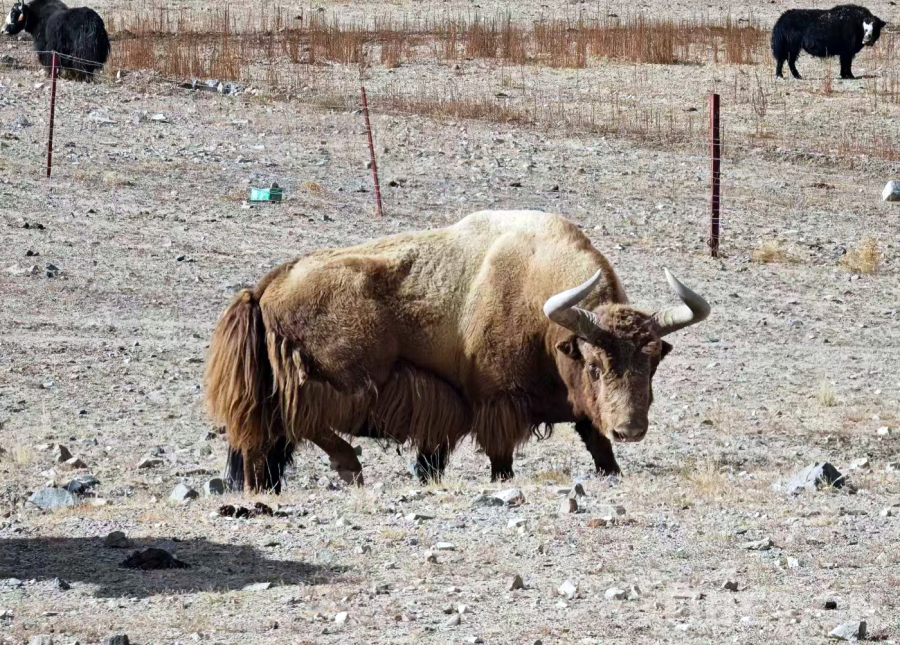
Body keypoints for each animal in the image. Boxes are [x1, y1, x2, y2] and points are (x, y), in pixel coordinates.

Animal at [205, 210, 711, 492]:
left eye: (652, 361)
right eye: (594, 365)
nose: (632, 429)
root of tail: (266, 287)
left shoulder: (578, 411)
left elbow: (597, 444)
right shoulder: (498, 404)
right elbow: (501, 458)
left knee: (271, 442)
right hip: (335, 378)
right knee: (305, 420)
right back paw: (350, 468)